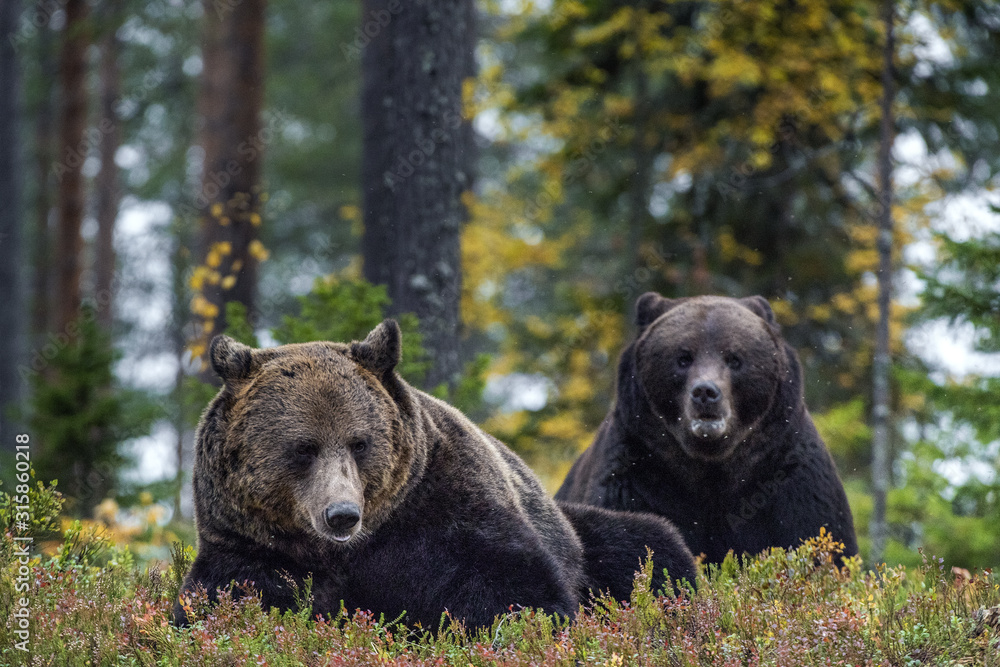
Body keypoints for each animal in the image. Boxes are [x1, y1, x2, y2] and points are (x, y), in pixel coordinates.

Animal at [174, 320, 586, 629]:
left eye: (359, 443)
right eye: (304, 448)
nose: (341, 515)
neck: (342, 551)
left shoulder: (444, 513)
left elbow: (514, 588)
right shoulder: (249, 545)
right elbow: (224, 601)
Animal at [555, 293, 858, 566]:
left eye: (734, 358)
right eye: (683, 357)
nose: (705, 392)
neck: (710, 468)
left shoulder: (788, 474)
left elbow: (816, 535)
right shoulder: (634, 474)